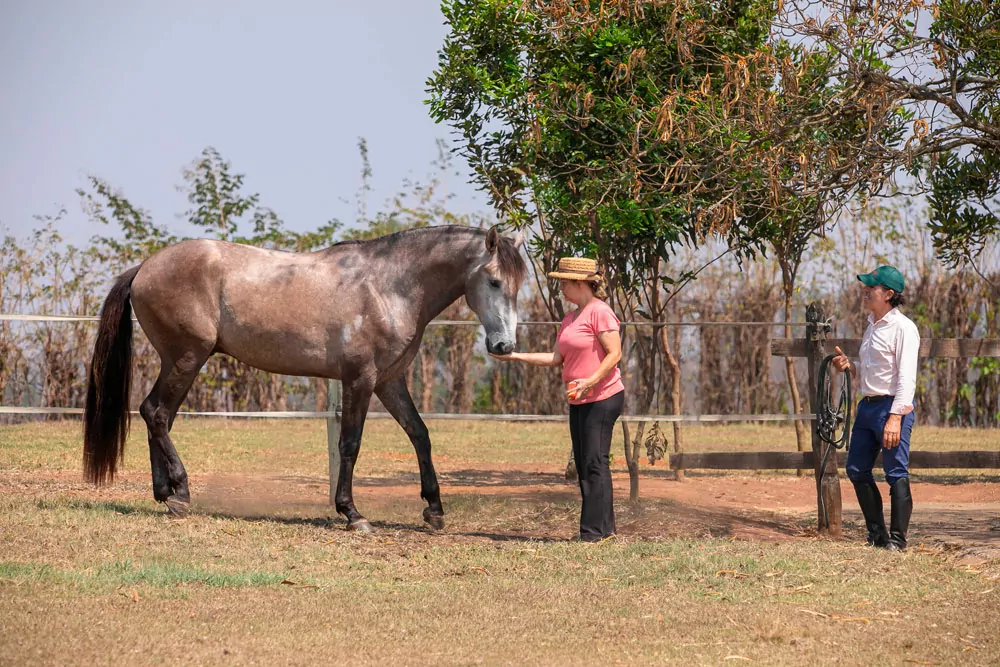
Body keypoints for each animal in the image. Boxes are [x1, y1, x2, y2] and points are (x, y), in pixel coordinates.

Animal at [82, 226, 528, 532]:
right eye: (493, 281)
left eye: (518, 285)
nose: (504, 345)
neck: (389, 287)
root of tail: (145, 267)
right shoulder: (359, 380)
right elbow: (350, 444)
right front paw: (352, 513)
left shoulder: (390, 381)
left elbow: (420, 434)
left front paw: (433, 509)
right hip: (187, 358)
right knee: (157, 413)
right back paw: (181, 494)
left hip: (179, 362)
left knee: (156, 415)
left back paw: (165, 493)